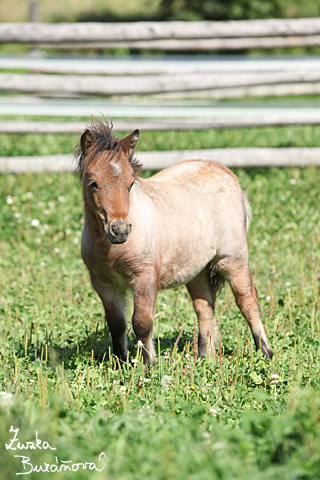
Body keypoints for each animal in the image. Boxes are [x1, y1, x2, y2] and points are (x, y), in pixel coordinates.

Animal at [75, 119, 272, 364]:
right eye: (93, 183)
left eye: (131, 183)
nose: (120, 230)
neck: (112, 250)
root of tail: (223, 169)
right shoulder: (104, 283)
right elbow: (116, 325)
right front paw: (121, 364)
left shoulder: (144, 277)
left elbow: (142, 322)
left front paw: (147, 365)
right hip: (197, 270)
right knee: (205, 307)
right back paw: (204, 359)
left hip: (232, 259)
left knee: (248, 301)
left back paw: (265, 353)